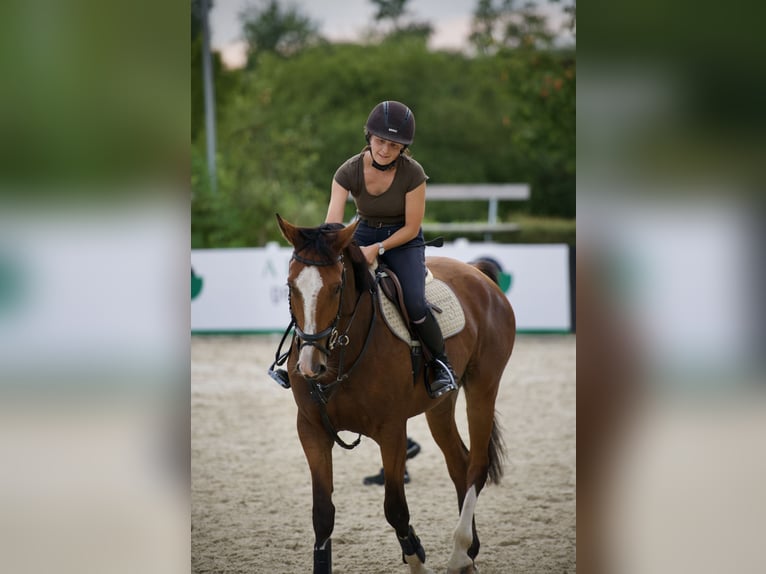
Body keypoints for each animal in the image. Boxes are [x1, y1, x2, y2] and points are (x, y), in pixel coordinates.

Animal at [274, 215, 516, 574]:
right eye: (291, 287)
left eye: (336, 287)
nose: (309, 365)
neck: (343, 353)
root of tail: (477, 273)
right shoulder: (311, 430)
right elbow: (323, 515)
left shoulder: (391, 432)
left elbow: (396, 508)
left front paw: (416, 556)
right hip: (439, 405)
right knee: (459, 462)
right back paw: (470, 551)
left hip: (483, 387)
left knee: (477, 465)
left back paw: (460, 551)